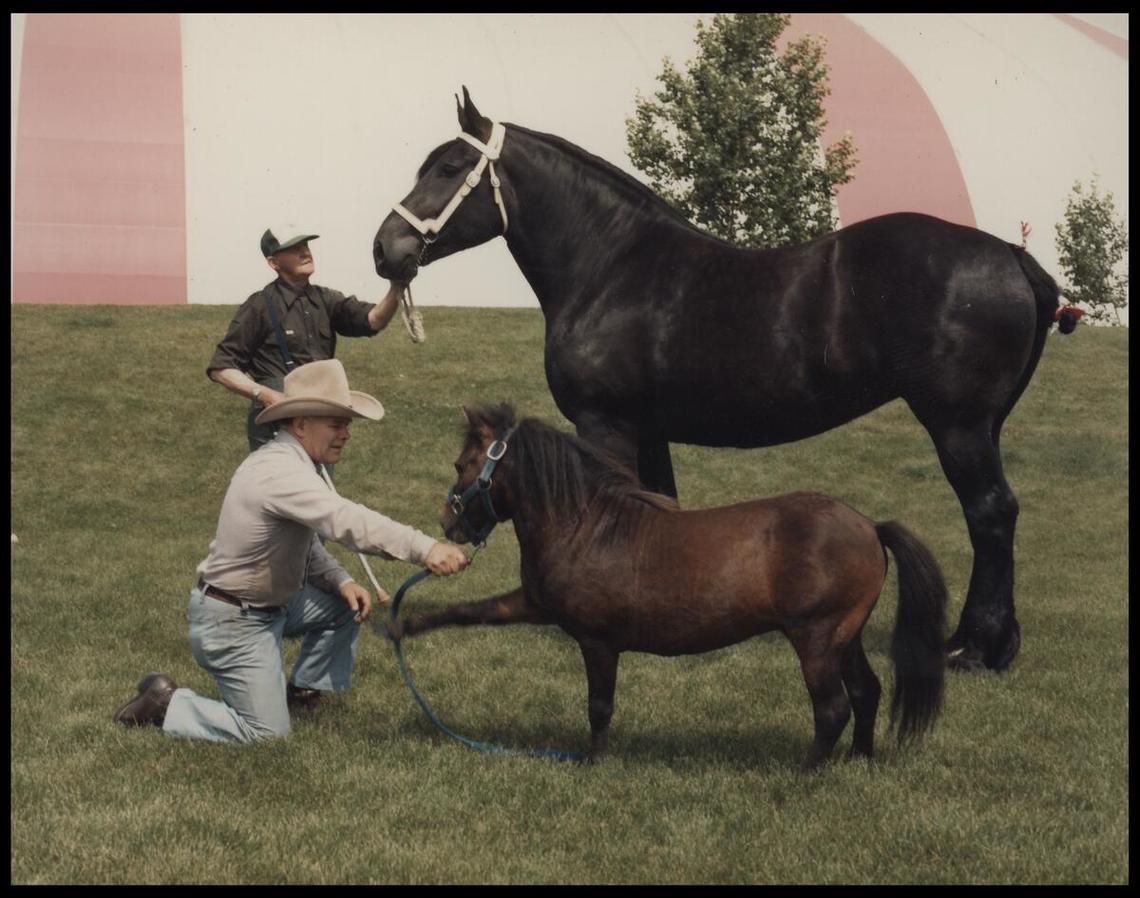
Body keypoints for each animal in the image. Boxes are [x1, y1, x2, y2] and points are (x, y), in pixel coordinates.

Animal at [373, 89, 1067, 674]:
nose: (385, 249)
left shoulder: (604, 423)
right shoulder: (645, 428)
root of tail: (1011, 255)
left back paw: (974, 647)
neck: (612, 267)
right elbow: (659, 505)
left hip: (958, 426)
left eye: (449, 167)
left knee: (990, 513)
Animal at [396, 405, 948, 765]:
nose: (448, 523)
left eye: (462, 465)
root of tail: (869, 526)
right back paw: (859, 760)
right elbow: (470, 612)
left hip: (815, 638)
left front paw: (592, 762)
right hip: (845, 637)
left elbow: (599, 707)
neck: (587, 527)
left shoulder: (597, 641)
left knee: (833, 708)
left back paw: (804, 774)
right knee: (867, 691)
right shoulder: (535, 605)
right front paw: (400, 627)